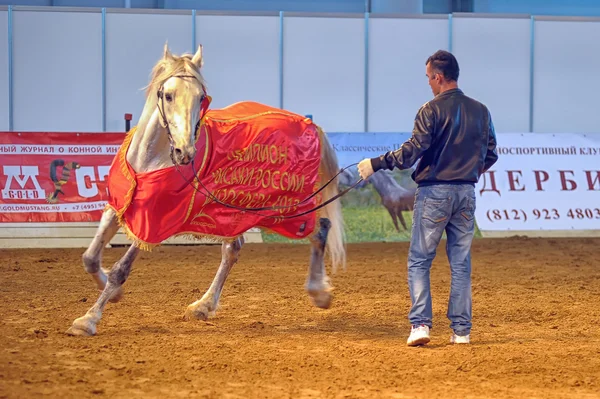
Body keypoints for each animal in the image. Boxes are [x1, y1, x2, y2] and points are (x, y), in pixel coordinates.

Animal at [66, 43, 344, 338]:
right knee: (233, 249)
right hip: (239, 213)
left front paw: (88, 319)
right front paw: (110, 292)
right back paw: (203, 305)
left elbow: (121, 269)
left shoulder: (153, 224)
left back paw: (319, 292)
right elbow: (90, 258)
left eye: (201, 98)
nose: (185, 152)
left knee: (320, 228)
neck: (149, 161)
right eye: (168, 95)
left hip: (289, 209)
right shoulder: (117, 207)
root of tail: (311, 125)